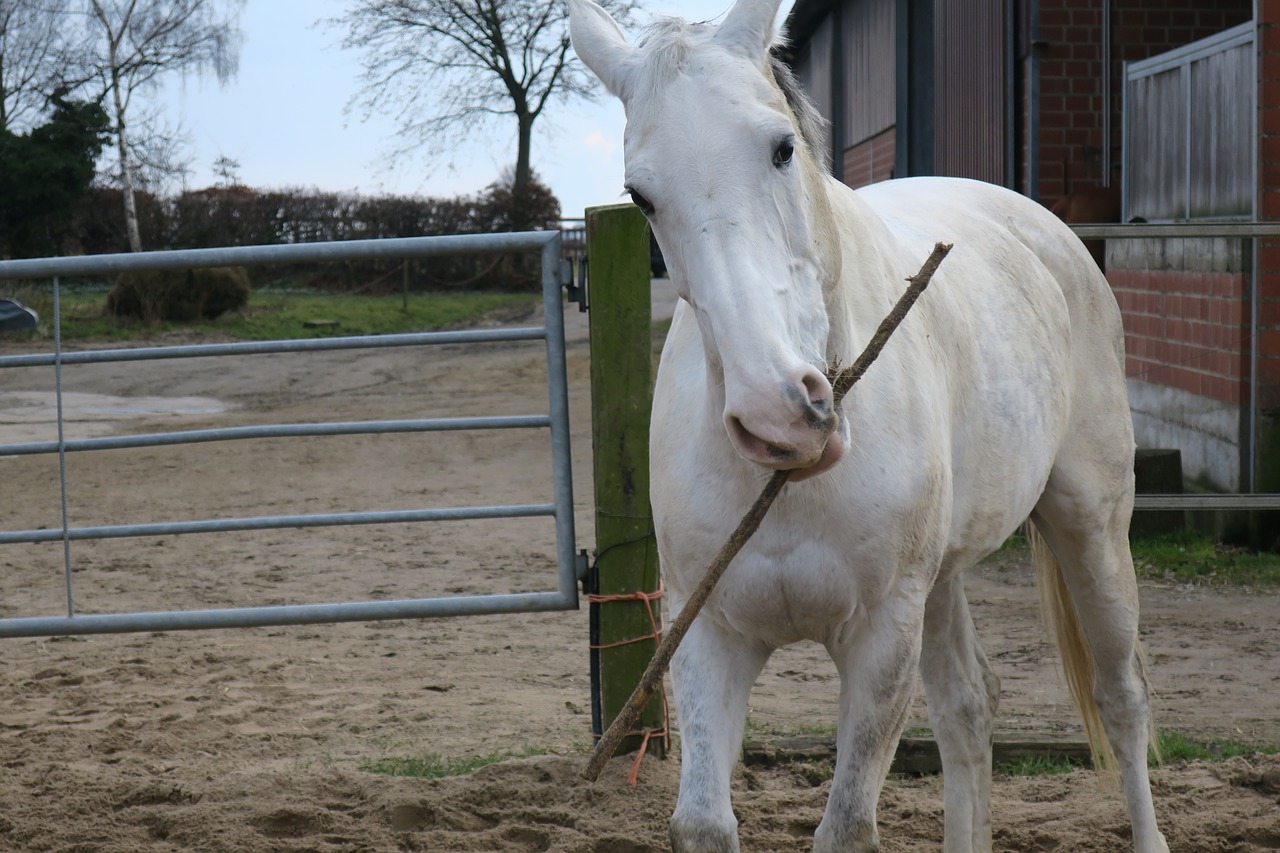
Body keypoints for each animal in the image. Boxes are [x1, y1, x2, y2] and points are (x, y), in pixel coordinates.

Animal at [570, 1, 1172, 850]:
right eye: (642, 195)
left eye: (782, 148)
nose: (780, 414)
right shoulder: (709, 630)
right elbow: (703, 820)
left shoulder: (882, 635)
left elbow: (848, 821)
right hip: (944, 577)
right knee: (969, 708)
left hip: (1090, 524)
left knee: (1122, 696)